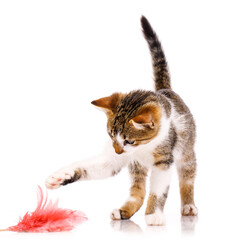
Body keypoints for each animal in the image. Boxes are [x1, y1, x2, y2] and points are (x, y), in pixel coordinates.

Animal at [46, 15, 198, 226]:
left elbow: (159, 189)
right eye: (111, 135)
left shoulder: (164, 160)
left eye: (129, 140)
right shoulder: (114, 159)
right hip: (136, 167)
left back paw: (188, 206)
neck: (143, 148)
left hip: (186, 149)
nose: (118, 151)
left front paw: (154, 214)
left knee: (187, 174)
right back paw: (124, 210)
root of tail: (165, 90)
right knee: (137, 190)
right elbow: (93, 166)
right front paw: (61, 176)